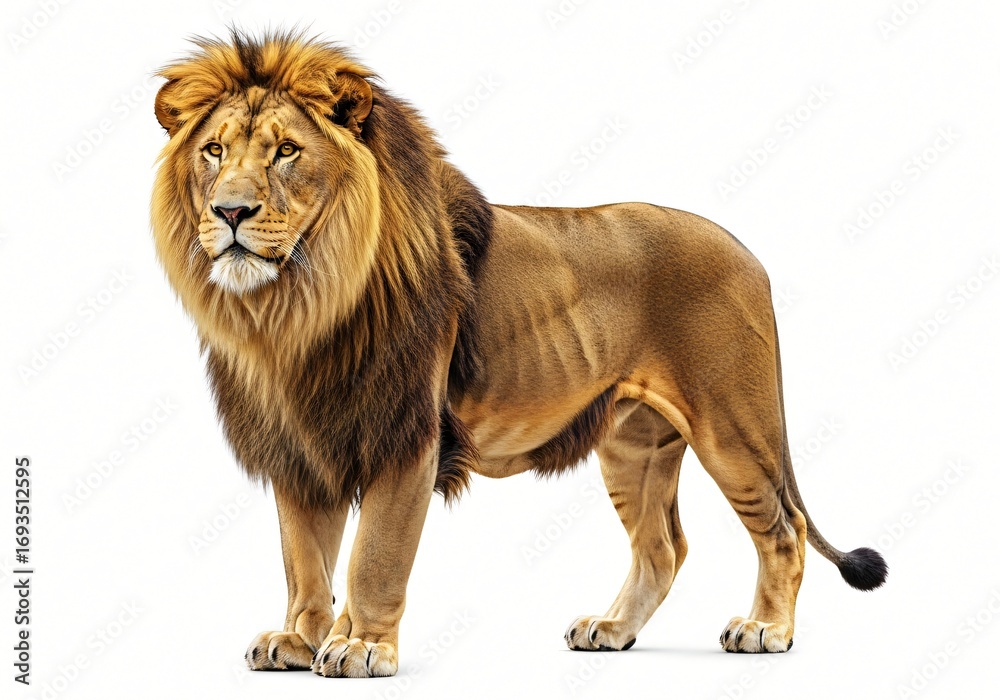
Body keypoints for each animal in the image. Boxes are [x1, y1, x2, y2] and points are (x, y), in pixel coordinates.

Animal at [151, 30, 887, 678]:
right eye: (213, 150)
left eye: (286, 152)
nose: (230, 212)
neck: (298, 307)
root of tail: (748, 252)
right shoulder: (302, 445)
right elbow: (304, 560)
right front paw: (302, 642)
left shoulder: (409, 437)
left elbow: (374, 556)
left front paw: (361, 648)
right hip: (636, 444)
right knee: (662, 547)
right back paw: (611, 630)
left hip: (731, 424)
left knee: (785, 530)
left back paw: (765, 629)